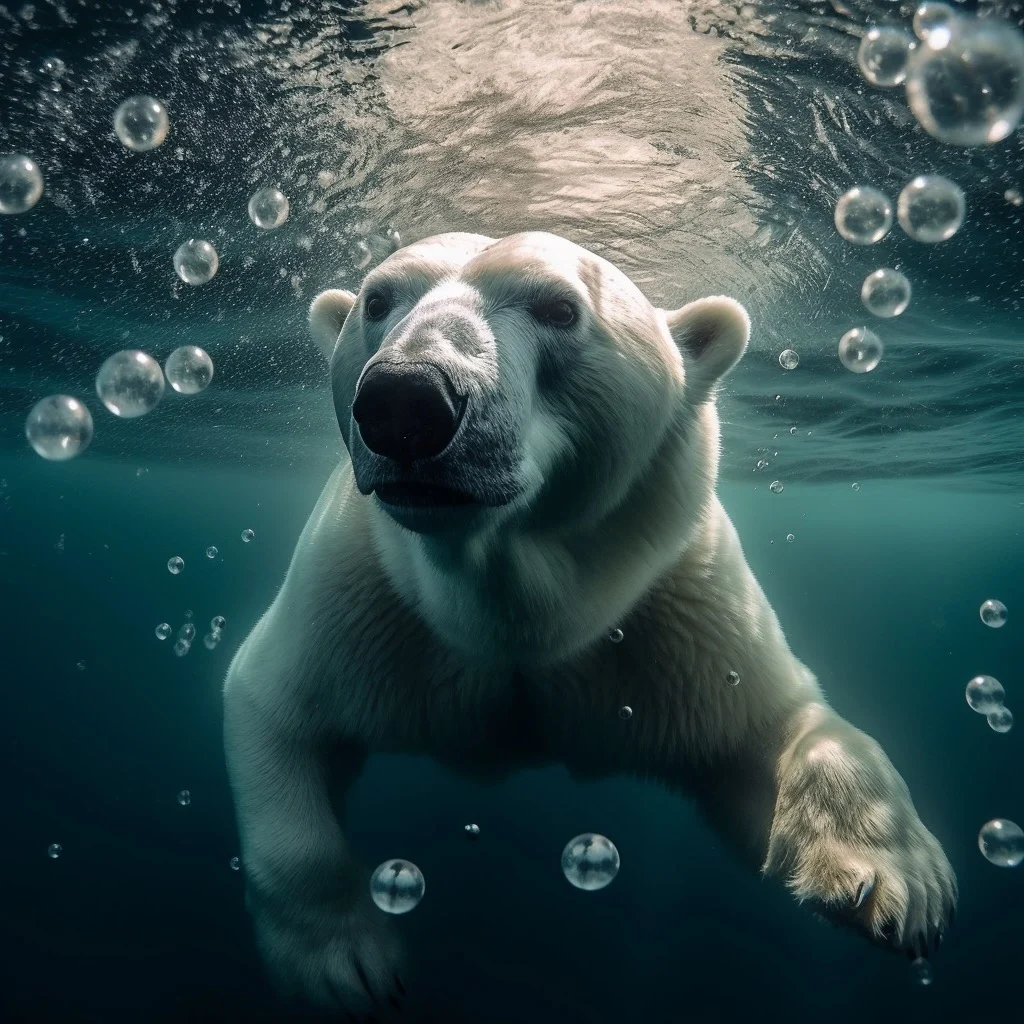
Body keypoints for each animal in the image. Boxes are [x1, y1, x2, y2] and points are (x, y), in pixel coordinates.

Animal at [223, 230, 956, 1015]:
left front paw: (895, 882)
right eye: (378, 300)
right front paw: (343, 965)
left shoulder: (675, 614)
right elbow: (273, 711)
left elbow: (772, 729)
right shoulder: (360, 600)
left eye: (558, 307)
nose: (404, 401)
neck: (513, 610)